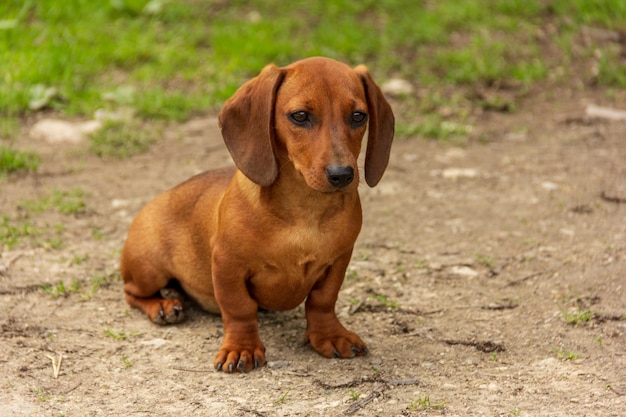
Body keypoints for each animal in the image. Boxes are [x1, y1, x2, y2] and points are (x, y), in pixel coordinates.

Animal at [119, 56, 392, 370]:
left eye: (358, 116)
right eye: (300, 116)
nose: (342, 175)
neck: (305, 209)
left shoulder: (338, 261)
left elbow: (323, 301)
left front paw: (329, 335)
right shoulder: (228, 265)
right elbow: (239, 308)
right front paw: (242, 347)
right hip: (148, 269)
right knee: (132, 292)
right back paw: (162, 305)